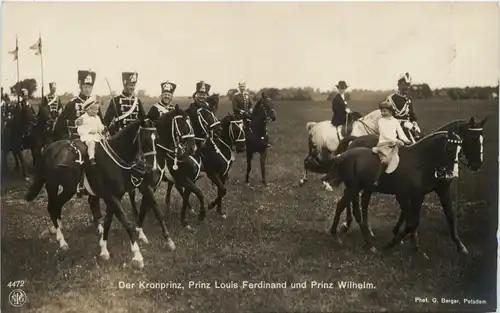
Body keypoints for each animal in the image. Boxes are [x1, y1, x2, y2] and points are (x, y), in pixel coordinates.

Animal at [24, 118, 161, 266]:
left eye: (157, 139)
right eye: (145, 140)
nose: (153, 170)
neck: (113, 160)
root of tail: (48, 149)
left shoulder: (114, 197)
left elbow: (108, 222)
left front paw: (104, 250)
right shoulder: (111, 197)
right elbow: (127, 223)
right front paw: (137, 256)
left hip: (68, 189)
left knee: (57, 206)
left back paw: (57, 229)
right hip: (52, 186)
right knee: (51, 207)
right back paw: (62, 241)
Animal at [326, 129, 462, 256]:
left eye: (460, 151)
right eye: (450, 148)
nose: (453, 174)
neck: (419, 161)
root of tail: (340, 156)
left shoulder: (424, 195)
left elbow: (445, 217)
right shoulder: (407, 196)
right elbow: (411, 222)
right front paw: (395, 242)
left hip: (357, 188)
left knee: (352, 204)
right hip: (354, 188)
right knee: (348, 206)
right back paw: (353, 237)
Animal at [332, 116, 488, 244]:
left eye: (482, 139)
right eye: (473, 139)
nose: (477, 165)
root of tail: (355, 140)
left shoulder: (439, 190)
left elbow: (446, 215)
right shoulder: (412, 193)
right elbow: (410, 215)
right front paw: (405, 236)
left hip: (367, 186)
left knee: (362, 201)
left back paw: (365, 229)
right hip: (358, 185)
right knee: (352, 200)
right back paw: (348, 226)